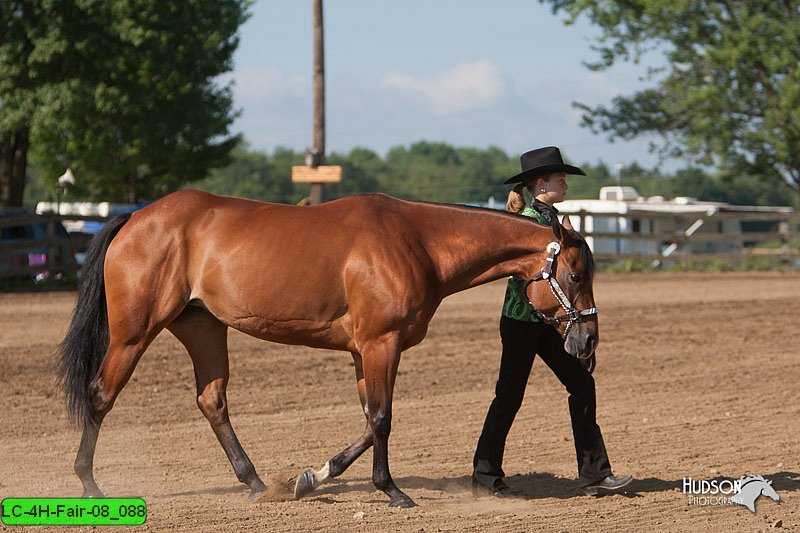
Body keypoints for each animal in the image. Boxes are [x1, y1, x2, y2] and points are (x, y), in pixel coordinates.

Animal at [57, 188, 592, 508]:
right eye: (575, 274)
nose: (587, 340)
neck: (416, 241)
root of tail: (134, 218)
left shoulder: (363, 351)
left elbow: (369, 420)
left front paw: (312, 476)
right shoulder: (381, 344)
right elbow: (382, 419)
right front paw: (392, 491)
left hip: (202, 327)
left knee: (212, 401)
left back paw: (257, 484)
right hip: (135, 331)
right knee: (101, 394)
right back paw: (88, 483)